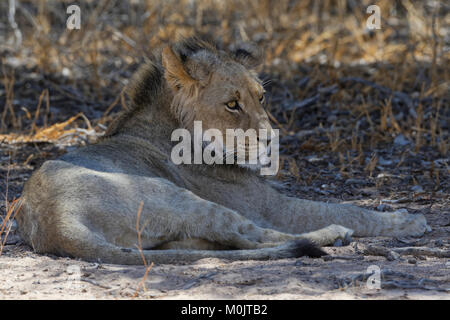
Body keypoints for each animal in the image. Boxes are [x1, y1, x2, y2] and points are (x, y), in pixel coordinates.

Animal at [15, 36, 428, 264]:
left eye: (261, 97)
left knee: (228, 241)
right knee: (256, 236)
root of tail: (56, 223)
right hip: (175, 195)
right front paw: (407, 220)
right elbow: (348, 209)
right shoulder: (270, 207)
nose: (270, 139)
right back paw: (334, 234)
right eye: (232, 104)